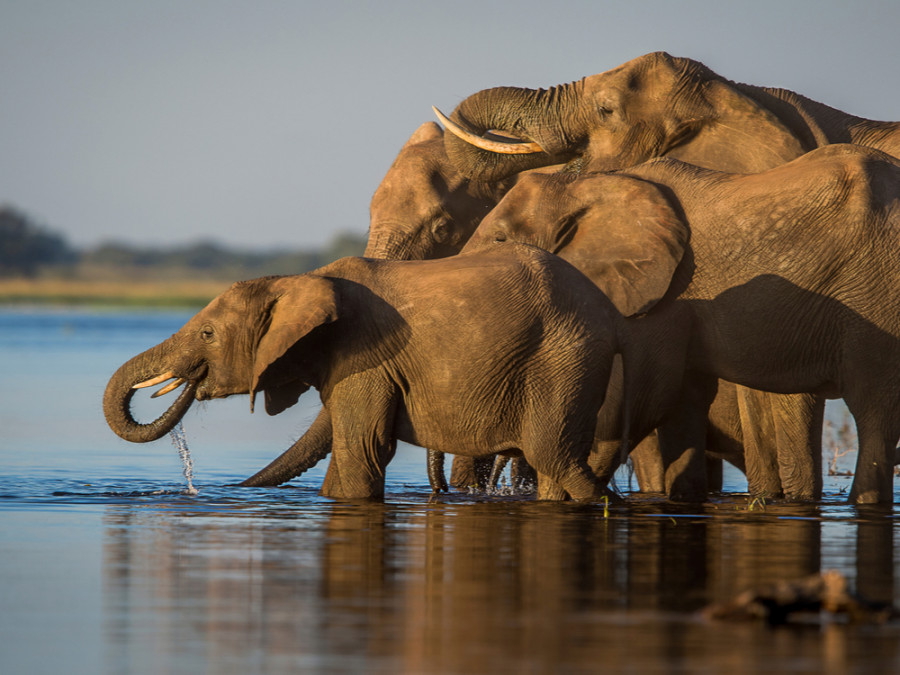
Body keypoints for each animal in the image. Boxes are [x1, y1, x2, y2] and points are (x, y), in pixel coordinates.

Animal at [105, 244, 624, 502]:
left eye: (208, 333)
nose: (194, 489)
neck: (301, 279)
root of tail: (610, 312)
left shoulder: (367, 357)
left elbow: (362, 448)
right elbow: (346, 447)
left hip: (562, 359)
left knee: (554, 456)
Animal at [460, 145, 900, 504]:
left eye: (500, 239)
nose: (497, 491)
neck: (586, 184)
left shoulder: (667, 292)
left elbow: (642, 395)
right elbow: (682, 398)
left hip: (878, 294)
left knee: (874, 412)